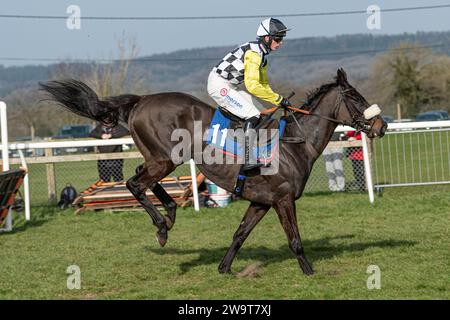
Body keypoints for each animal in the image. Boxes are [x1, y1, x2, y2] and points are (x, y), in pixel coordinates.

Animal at [39, 68, 386, 276]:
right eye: (356, 97)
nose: (381, 125)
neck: (293, 144)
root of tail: (140, 101)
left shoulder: (261, 201)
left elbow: (240, 234)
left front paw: (224, 268)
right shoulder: (283, 200)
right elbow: (295, 240)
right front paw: (309, 272)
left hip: (161, 158)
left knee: (143, 176)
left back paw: (169, 214)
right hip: (166, 158)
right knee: (134, 183)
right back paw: (162, 227)